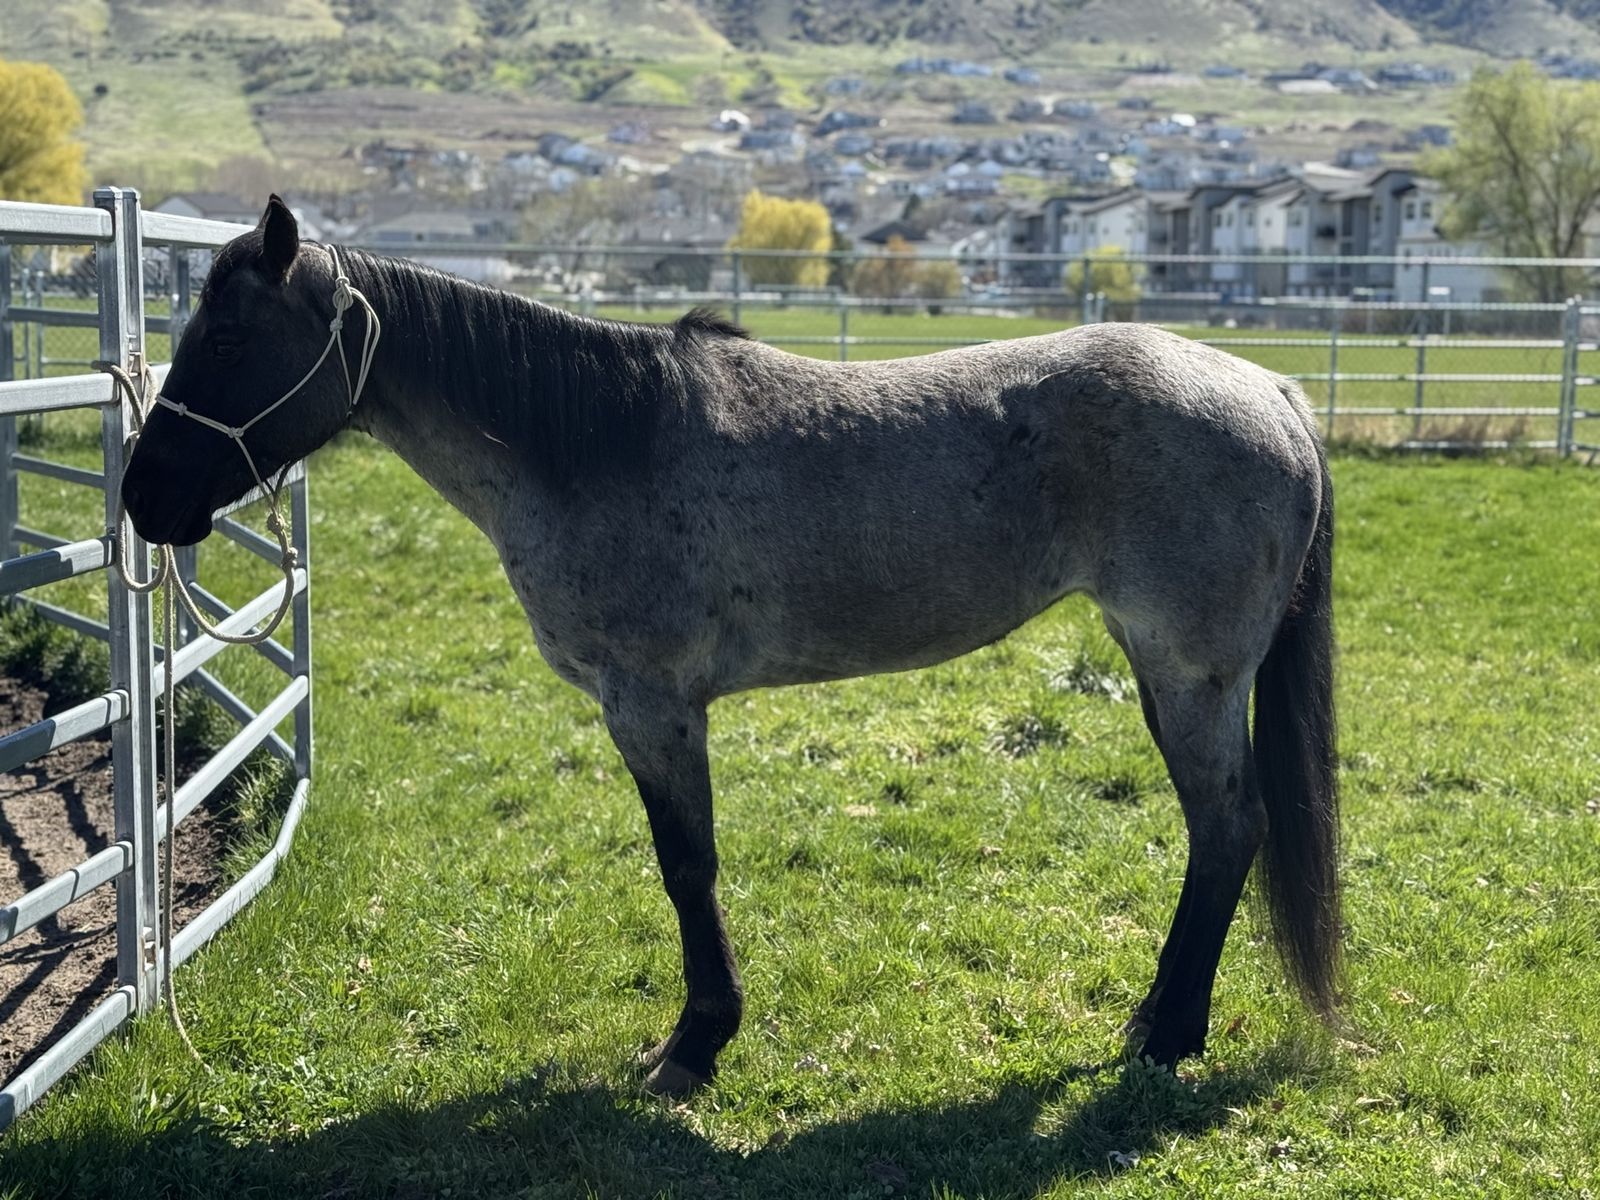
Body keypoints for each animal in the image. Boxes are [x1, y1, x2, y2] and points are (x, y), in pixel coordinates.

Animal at [121, 197, 1340, 1097]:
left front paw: (695, 1044)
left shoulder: (651, 704)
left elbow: (685, 865)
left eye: (226, 337)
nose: (144, 496)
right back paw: (1159, 1022)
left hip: (1189, 676)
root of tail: (1273, 392)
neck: (594, 442)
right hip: (1165, 672)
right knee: (1221, 833)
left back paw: (1167, 1035)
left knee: (1228, 829)